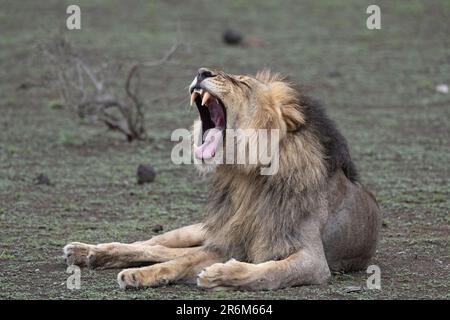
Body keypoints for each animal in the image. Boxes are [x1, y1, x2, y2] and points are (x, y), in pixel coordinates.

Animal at [62, 67, 380, 290]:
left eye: (244, 84)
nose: (202, 72)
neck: (248, 179)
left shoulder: (313, 260)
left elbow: (270, 272)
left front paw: (220, 274)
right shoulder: (225, 242)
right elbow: (181, 261)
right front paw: (138, 275)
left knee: (165, 251)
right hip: (198, 230)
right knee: (156, 244)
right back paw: (88, 251)